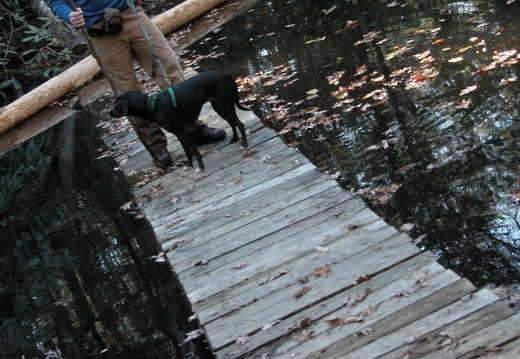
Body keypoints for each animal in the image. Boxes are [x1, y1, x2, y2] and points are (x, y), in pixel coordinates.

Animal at [109, 71, 250, 172]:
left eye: (116, 106)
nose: (110, 112)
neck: (151, 105)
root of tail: (225, 74)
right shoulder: (178, 133)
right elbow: (187, 151)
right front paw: (189, 164)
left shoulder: (181, 132)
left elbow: (194, 151)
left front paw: (200, 166)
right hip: (220, 108)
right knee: (232, 124)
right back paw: (235, 139)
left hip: (225, 107)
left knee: (240, 125)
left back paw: (244, 144)